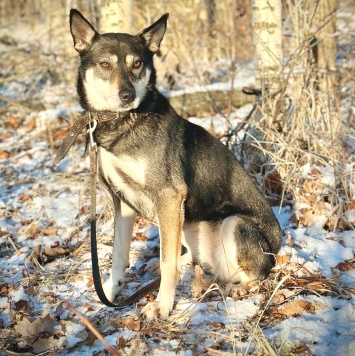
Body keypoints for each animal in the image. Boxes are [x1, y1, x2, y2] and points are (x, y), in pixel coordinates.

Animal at [69, 9, 280, 320]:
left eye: (137, 64)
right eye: (105, 64)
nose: (127, 96)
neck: (121, 123)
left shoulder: (168, 196)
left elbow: (167, 262)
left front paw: (163, 304)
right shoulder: (123, 203)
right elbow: (119, 257)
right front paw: (108, 292)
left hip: (233, 224)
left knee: (255, 275)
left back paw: (237, 288)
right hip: (189, 222)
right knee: (191, 255)